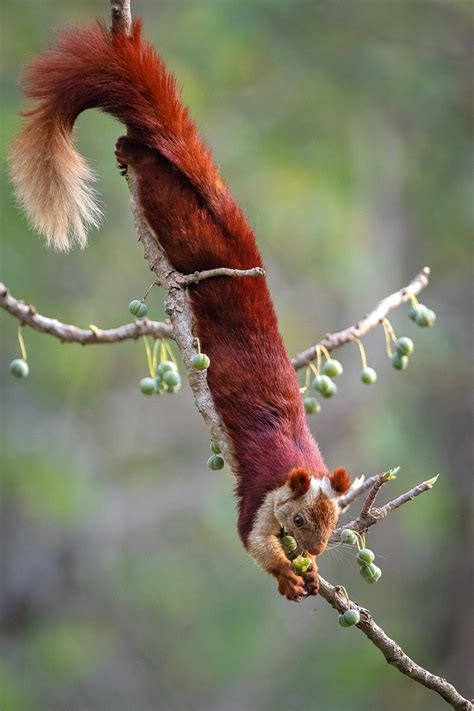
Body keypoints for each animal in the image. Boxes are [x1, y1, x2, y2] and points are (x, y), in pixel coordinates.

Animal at [9, 18, 352, 600]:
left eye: (335, 521)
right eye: (302, 519)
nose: (318, 550)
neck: (298, 462)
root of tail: (236, 235)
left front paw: (310, 571)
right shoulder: (261, 492)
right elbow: (250, 538)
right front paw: (286, 573)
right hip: (187, 229)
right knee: (159, 181)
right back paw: (134, 149)